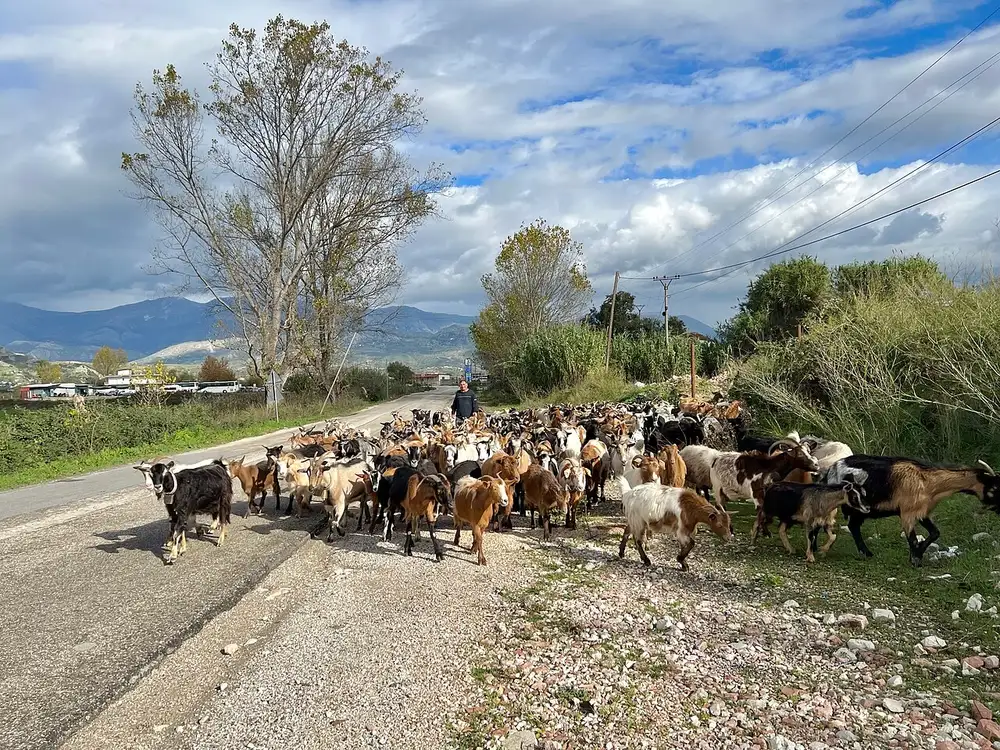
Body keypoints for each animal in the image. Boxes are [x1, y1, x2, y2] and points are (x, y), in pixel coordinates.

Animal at [826, 454, 1000, 565]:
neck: (929, 481)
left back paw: (866, 552)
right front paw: (915, 559)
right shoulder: (907, 513)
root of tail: (832, 468)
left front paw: (917, 555)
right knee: (852, 526)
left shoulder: (923, 512)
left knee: (853, 526)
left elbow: (935, 533)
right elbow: (913, 539)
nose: (999, 510)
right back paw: (865, 552)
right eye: (994, 488)